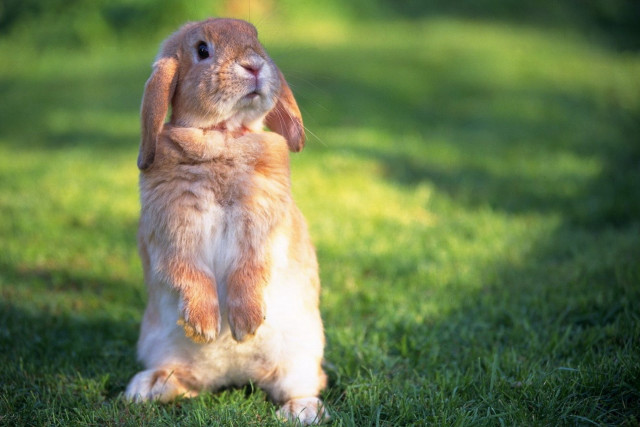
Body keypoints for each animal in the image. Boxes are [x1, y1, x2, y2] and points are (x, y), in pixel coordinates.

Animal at [124, 18, 328, 425]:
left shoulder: (262, 230)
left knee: (303, 384)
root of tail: (234, 376)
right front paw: (204, 326)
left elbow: (249, 270)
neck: (223, 136)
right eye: (202, 50)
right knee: (186, 382)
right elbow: (190, 272)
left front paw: (246, 325)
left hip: (301, 355)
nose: (254, 65)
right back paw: (147, 387)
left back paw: (300, 411)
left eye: (256, 39)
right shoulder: (173, 232)